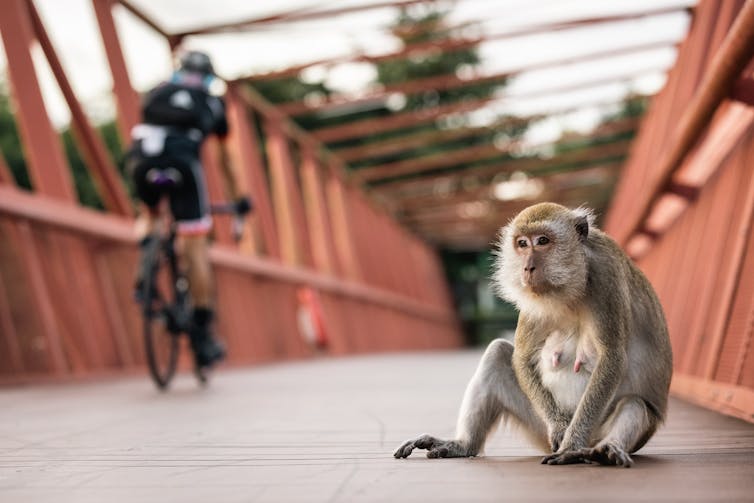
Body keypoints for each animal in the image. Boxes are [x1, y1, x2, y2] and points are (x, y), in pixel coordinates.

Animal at [394, 203, 672, 467]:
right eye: (522, 244)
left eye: (543, 241)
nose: (527, 268)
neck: (572, 283)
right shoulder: (531, 299)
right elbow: (522, 358)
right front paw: (559, 427)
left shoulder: (607, 276)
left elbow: (612, 356)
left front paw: (571, 444)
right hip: (540, 431)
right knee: (497, 353)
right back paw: (463, 445)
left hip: (606, 431)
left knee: (635, 404)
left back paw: (602, 450)